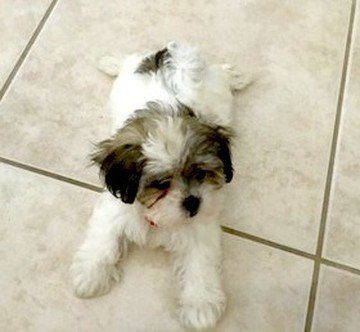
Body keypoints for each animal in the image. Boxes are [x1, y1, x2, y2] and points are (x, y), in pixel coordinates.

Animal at [72, 41, 248, 330]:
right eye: (161, 183)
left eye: (201, 173)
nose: (193, 202)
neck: (157, 216)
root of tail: (176, 49)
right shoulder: (115, 208)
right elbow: (103, 239)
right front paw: (90, 273)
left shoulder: (201, 227)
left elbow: (200, 262)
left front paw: (201, 305)